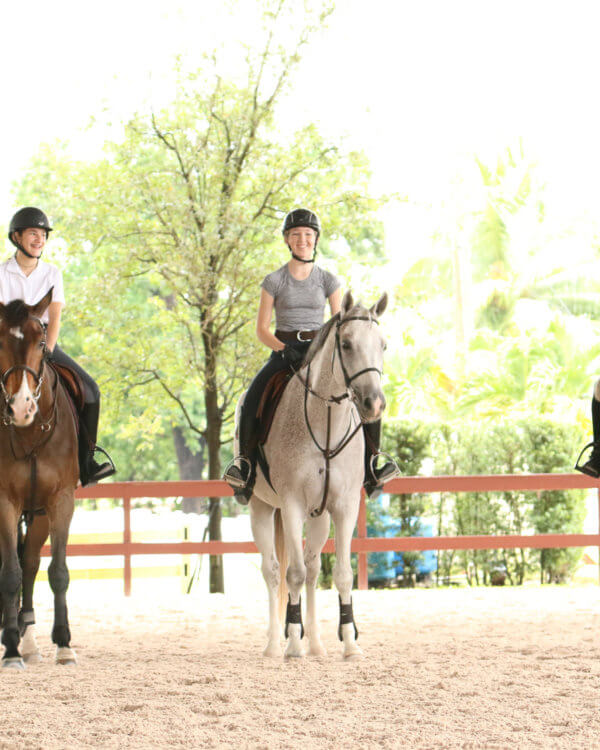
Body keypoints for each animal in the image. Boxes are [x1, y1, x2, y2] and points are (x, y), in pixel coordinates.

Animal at [237, 290, 392, 660]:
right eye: (346, 344)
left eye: (383, 345)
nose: (374, 404)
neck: (326, 424)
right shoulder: (292, 505)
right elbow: (292, 574)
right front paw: (293, 643)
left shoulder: (345, 506)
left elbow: (342, 574)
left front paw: (349, 643)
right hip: (263, 508)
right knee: (274, 571)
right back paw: (274, 644)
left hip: (319, 516)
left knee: (312, 568)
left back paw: (318, 644)